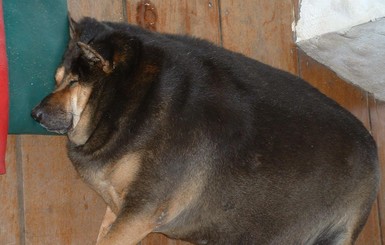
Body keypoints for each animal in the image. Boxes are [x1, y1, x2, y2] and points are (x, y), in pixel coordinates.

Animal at [30, 16, 378, 244]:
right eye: (57, 79)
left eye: (74, 82)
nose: (34, 113)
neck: (131, 97)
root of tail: (373, 151)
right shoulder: (120, 209)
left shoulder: (142, 211)